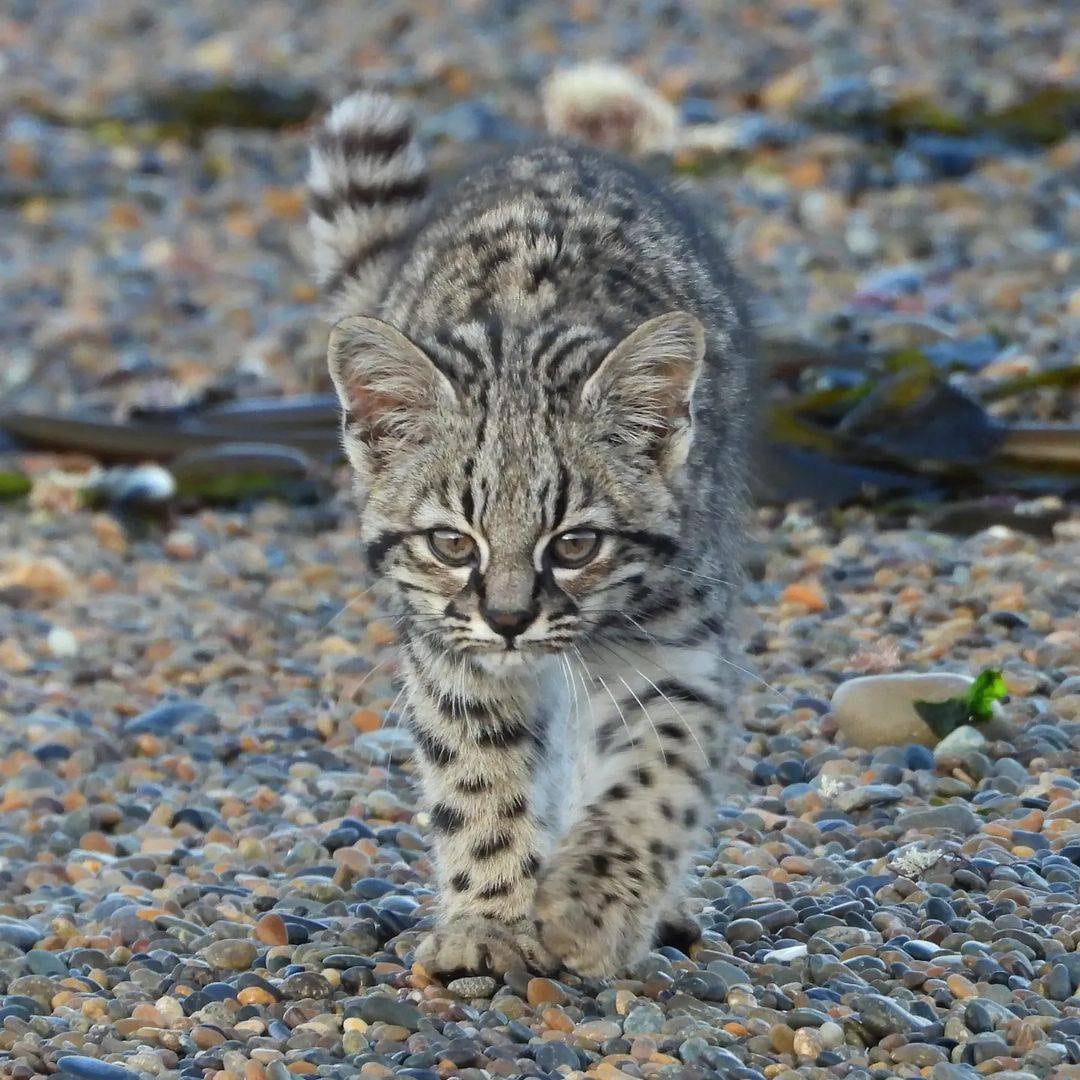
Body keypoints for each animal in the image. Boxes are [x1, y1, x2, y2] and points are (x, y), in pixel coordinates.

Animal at [308, 92, 751, 980]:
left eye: (574, 545)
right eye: (453, 544)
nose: (509, 620)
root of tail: (554, 151)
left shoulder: (671, 649)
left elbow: (652, 779)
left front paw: (587, 907)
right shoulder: (449, 657)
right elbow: (477, 780)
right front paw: (490, 921)